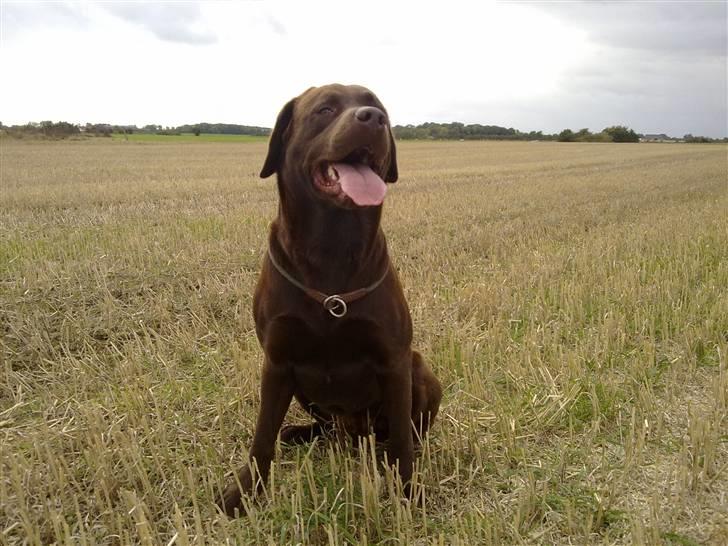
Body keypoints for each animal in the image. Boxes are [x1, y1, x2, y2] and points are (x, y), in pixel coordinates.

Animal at [219, 82, 440, 516]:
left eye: (378, 107)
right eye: (324, 109)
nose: (373, 118)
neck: (332, 246)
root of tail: (353, 432)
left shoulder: (394, 359)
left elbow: (403, 443)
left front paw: (408, 491)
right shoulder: (277, 361)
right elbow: (261, 437)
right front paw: (244, 494)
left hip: (421, 369)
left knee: (405, 433)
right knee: (323, 428)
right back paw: (301, 433)